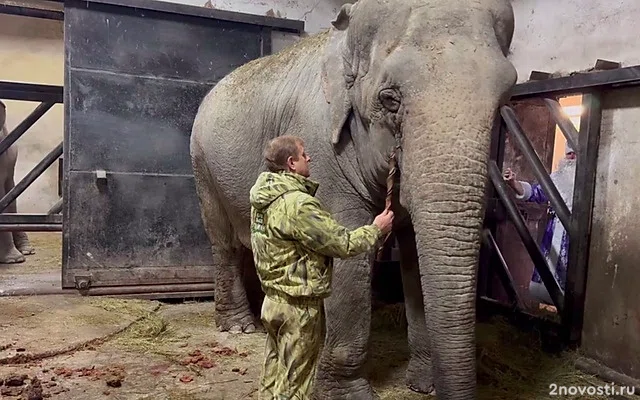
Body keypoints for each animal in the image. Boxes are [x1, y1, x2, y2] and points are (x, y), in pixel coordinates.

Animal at [188, 0, 516, 396]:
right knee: (222, 241)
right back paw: (239, 326)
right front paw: (349, 394)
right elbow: (345, 246)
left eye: (505, 99)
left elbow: (415, 256)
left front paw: (424, 386)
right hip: (201, 163)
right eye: (389, 99)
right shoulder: (320, 143)